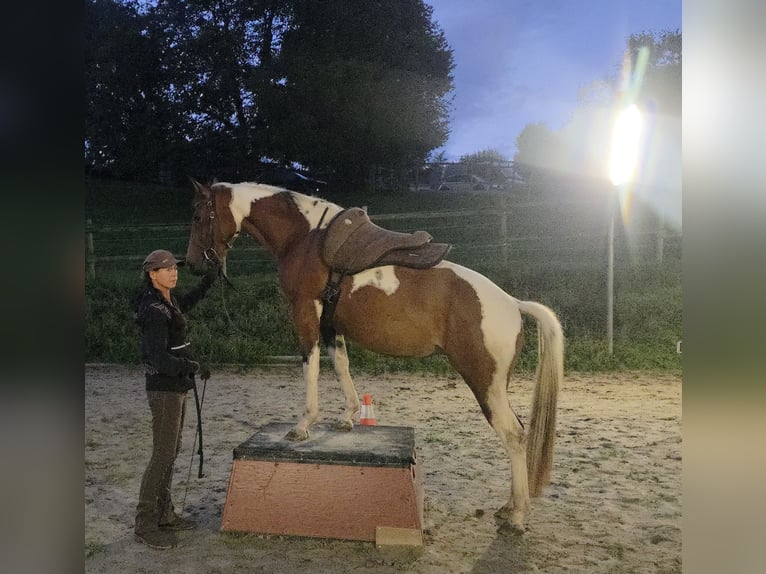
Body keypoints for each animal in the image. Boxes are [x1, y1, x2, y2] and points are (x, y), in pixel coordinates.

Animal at [184, 180, 564, 530]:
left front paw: (303, 425)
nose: (192, 264)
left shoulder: (306, 314)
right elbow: (341, 365)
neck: (305, 237)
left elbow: (311, 367)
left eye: (199, 215)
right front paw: (348, 417)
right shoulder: (331, 324)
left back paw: (516, 514)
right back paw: (509, 507)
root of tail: (513, 303)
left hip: (485, 384)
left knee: (514, 436)